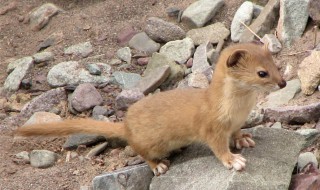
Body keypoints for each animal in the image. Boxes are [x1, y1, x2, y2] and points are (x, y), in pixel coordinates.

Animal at [15, 42, 286, 176]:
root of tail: (125, 125)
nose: (283, 83)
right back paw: (159, 166)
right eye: (261, 73)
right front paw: (234, 160)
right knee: (141, 152)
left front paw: (244, 139)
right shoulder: (212, 128)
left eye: (276, 64)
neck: (238, 109)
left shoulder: (237, 122)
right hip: (149, 144)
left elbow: (238, 132)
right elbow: (218, 148)